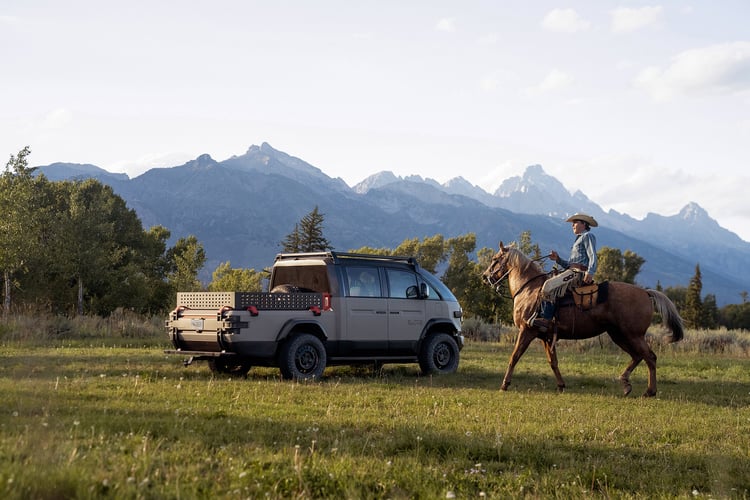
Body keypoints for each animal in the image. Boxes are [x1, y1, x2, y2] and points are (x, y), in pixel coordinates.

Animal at [484, 242, 684, 398]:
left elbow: (514, 356)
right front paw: (561, 386)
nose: (485, 277)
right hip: (618, 335)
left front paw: (504, 384)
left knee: (650, 357)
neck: (529, 289)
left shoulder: (527, 330)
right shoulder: (546, 337)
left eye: (495, 259)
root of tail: (645, 292)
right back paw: (626, 384)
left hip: (633, 335)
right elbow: (553, 362)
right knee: (637, 356)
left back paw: (649, 391)